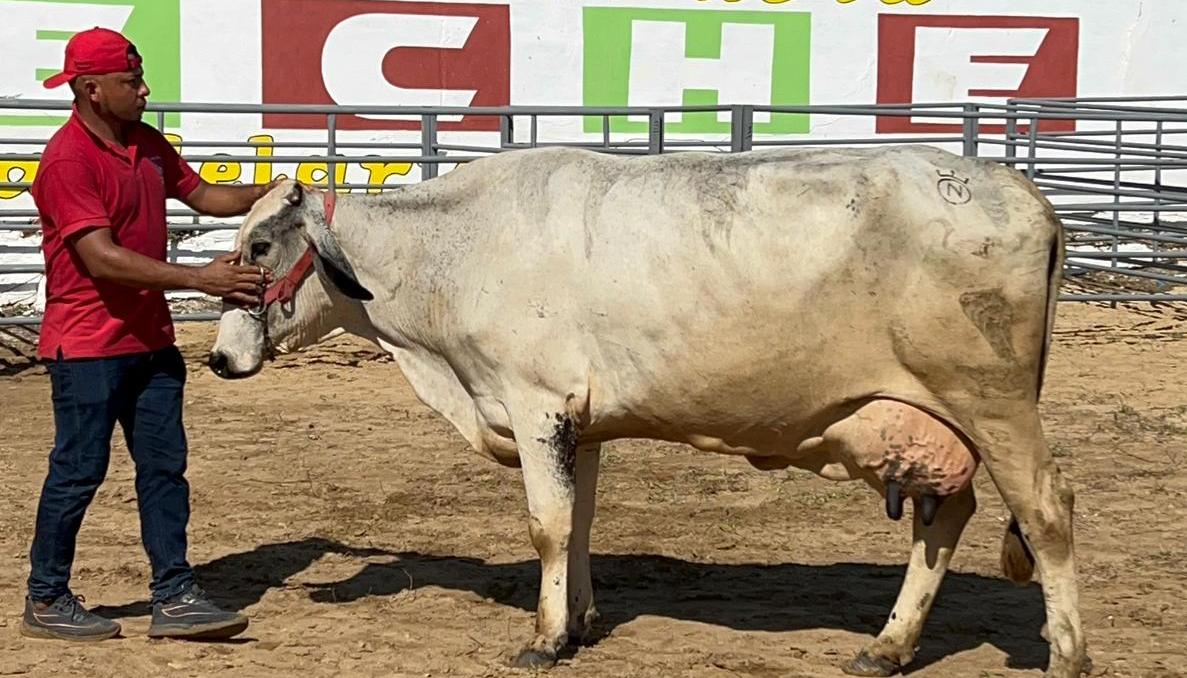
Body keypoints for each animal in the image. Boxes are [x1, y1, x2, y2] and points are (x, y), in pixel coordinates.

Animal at [208, 144, 1086, 677]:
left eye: (259, 247)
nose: (218, 358)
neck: (448, 254)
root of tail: (1020, 192)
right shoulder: (582, 420)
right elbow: (581, 520)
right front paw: (580, 620)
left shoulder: (535, 402)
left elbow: (547, 524)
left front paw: (543, 639)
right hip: (938, 417)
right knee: (947, 515)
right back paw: (889, 645)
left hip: (993, 400)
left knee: (1045, 514)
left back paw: (1066, 653)